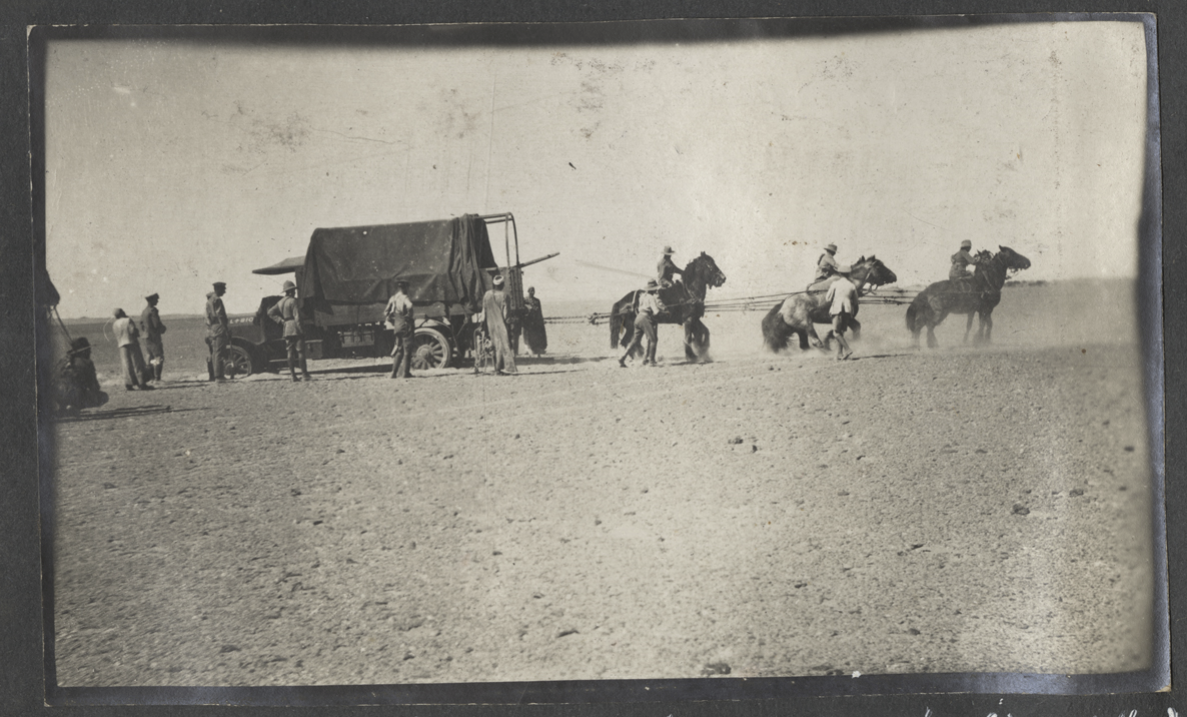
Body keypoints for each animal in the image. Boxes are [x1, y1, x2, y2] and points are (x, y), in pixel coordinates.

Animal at [764, 256, 892, 353]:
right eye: (879, 266)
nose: (894, 276)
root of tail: (782, 308)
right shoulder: (844, 317)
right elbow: (839, 331)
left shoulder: (848, 319)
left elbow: (855, 328)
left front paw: (857, 342)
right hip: (806, 324)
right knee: (815, 341)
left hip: (798, 330)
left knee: (804, 345)